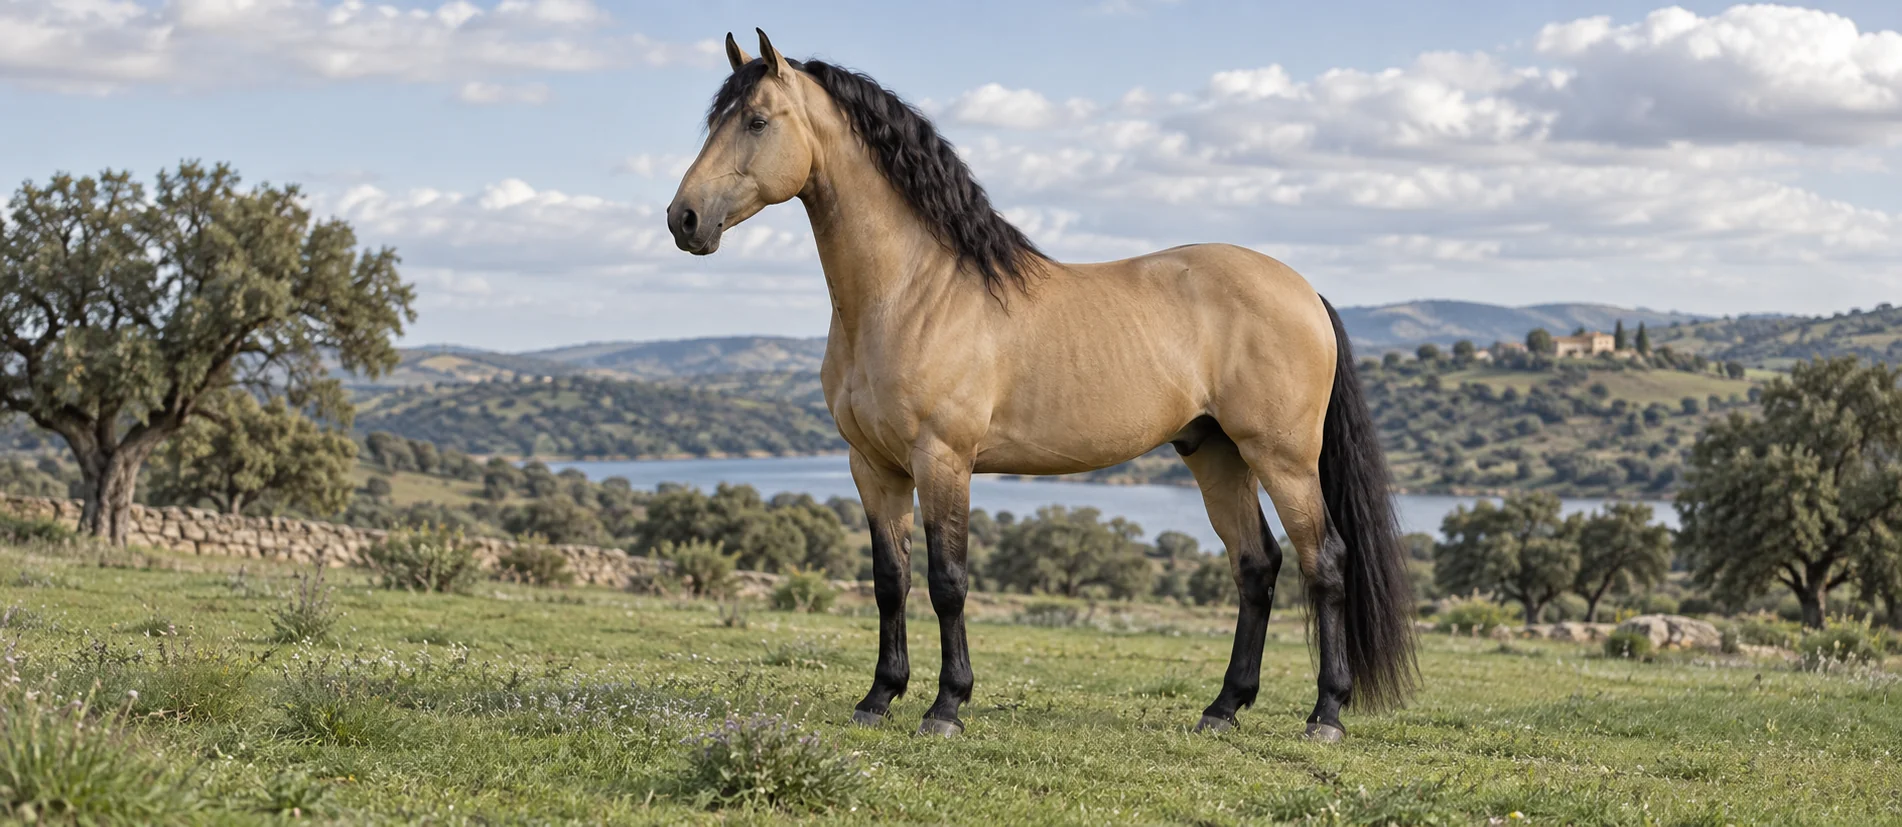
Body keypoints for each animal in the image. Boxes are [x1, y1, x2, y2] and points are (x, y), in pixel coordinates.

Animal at [667, 30, 1417, 741]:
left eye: (757, 120)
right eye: (714, 120)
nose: (684, 219)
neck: (912, 293)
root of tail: (1304, 290)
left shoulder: (943, 460)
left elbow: (947, 581)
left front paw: (946, 706)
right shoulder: (872, 467)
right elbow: (890, 581)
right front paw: (879, 697)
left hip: (1282, 458)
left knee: (1324, 562)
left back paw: (1326, 714)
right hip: (1215, 452)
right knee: (1256, 566)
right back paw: (1223, 707)